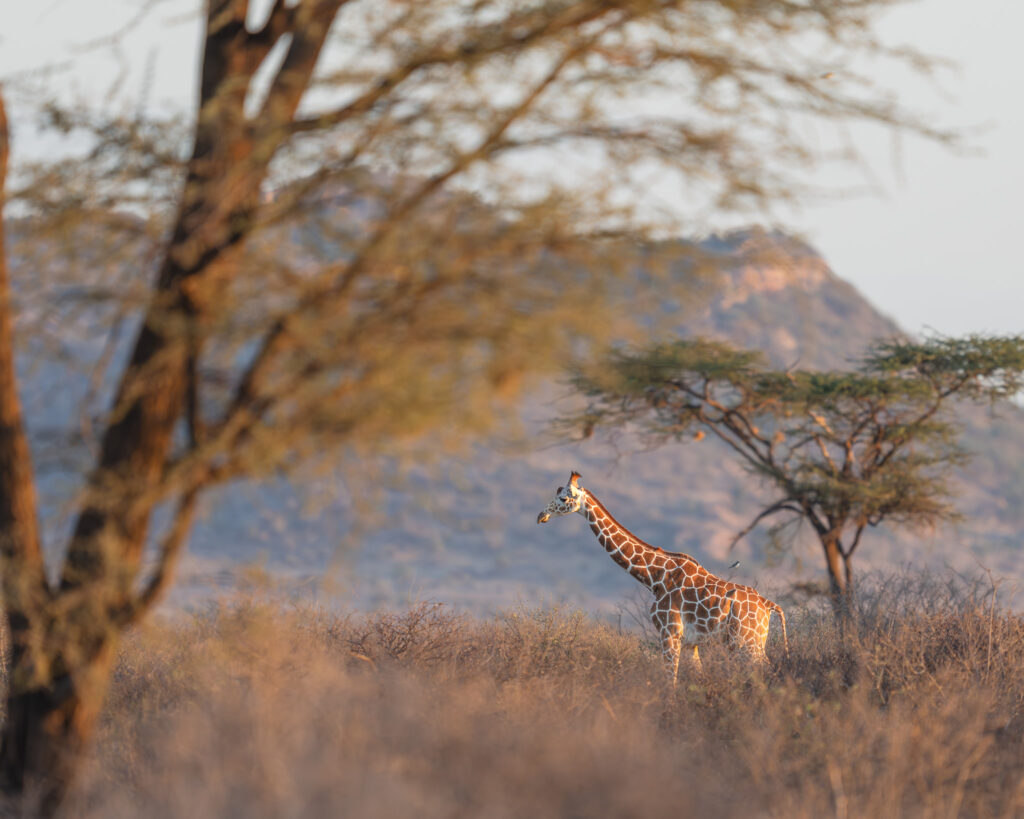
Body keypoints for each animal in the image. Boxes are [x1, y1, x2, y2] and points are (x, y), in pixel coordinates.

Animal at [537, 471, 788, 683]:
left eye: (563, 498)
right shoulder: (690, 643)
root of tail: (768, 605)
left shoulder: (669, 633)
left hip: (746, 641)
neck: (654, 577)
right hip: (749, 642)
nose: (541, 516)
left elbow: (670, 683)